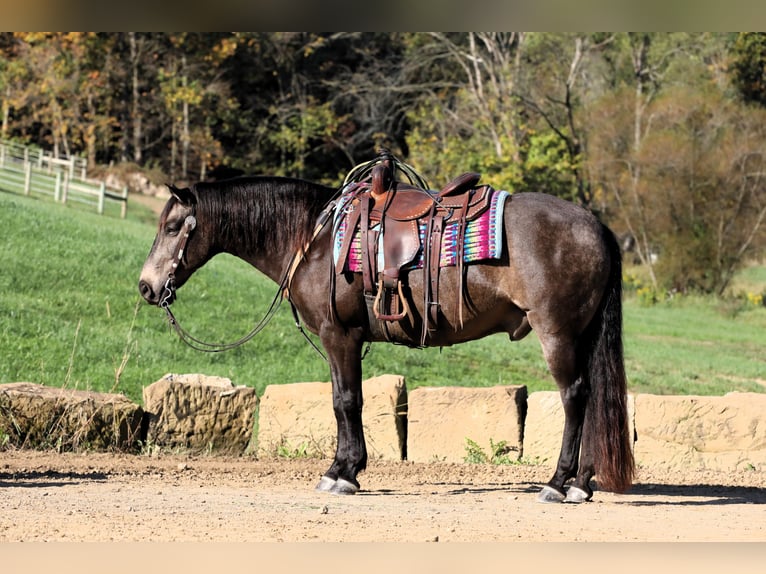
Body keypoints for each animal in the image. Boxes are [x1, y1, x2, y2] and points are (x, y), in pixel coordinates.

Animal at [138, 154, 636, 504]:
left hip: (557, 334)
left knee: (574, 397)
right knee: (593, 398)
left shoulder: (340, 335)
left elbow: (346, 401)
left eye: (172, 226)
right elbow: (343, 400)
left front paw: (342, 473)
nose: (146, 286)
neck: (315, 237)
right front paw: (346, 467)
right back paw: (581, 483)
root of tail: (595, 225)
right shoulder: (341, 339)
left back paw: (557, 482)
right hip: (582, 336)